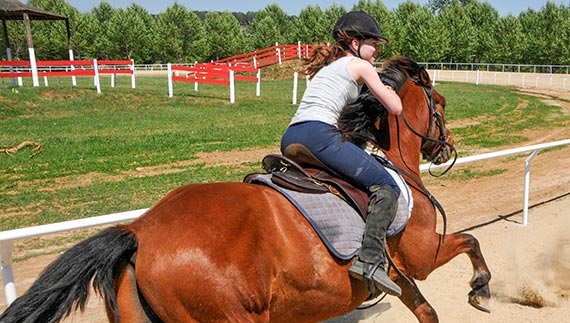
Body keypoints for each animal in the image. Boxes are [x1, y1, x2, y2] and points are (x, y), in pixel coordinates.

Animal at [0, 57, 488, 322]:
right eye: (441, 104)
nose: (445, 149)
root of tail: (140, 231)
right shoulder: (420, 255)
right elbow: (470, 240)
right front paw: (481, 289)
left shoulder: (401, 273)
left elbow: (425, 308)